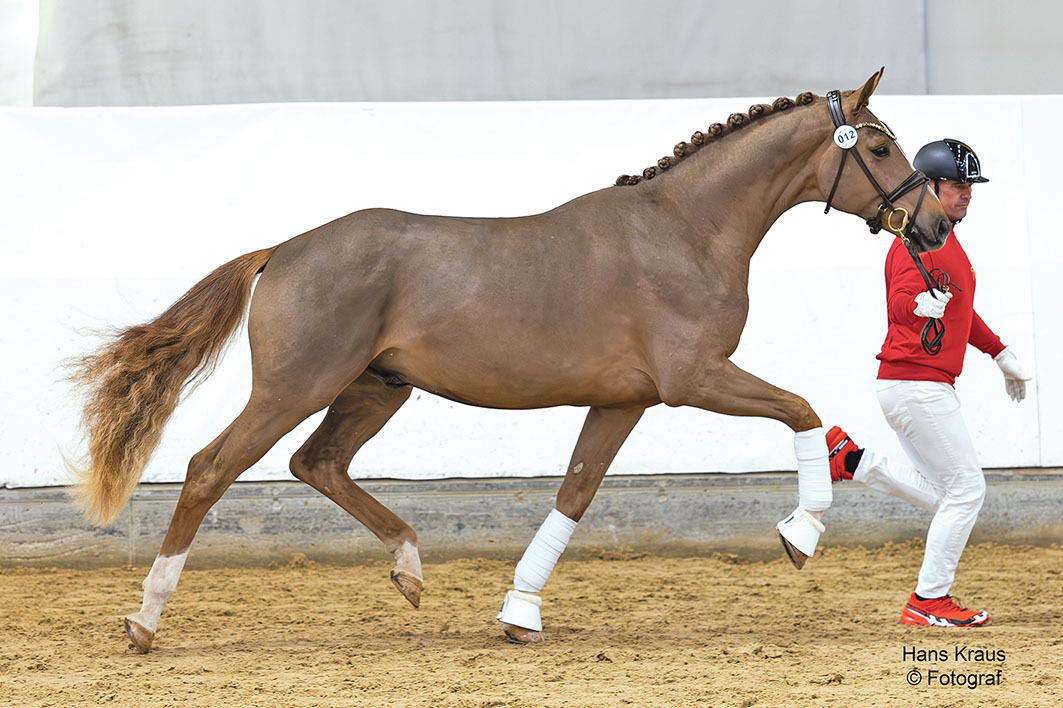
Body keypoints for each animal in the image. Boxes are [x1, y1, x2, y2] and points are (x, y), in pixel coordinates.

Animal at [77, 69, 948, 646]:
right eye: (878, 145)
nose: (936, 225)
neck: (685, 230)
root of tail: (283, 250)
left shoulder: (624, 398)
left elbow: (575, 493)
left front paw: (518, 612)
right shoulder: (692, 378)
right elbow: (800, 409)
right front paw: (800, 534)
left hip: (374, 388)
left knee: (316, 463)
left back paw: (409, 570)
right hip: (298, 384)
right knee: (210, 469)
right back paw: (144, 618)